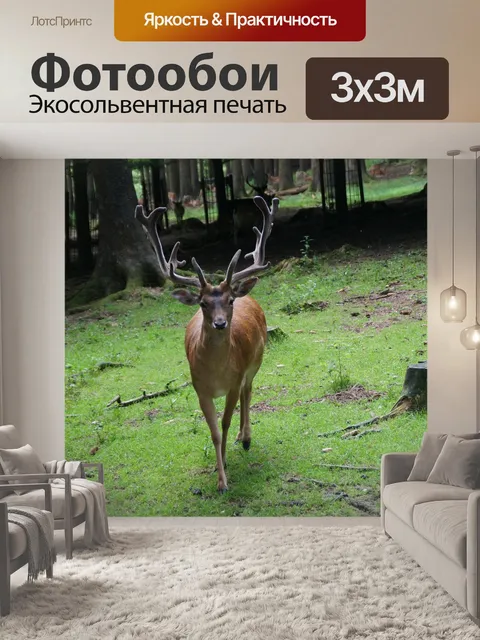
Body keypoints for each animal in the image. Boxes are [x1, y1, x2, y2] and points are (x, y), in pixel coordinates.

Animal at [134, 196, 278, 493]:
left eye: (229, 301)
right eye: (202, 303)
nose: (221, 323)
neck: (217, 374)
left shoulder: (233, 381)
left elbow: (224, 422)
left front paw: (224, 472)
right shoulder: (199, 388)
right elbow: (213, 432)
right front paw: (219, 475)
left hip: (256, 362)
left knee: (249, 391)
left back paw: (246, 437)